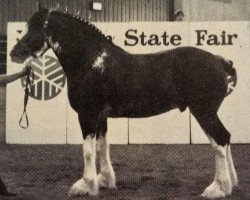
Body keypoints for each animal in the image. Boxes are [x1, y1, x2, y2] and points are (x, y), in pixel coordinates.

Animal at [10, 1, 238, 198]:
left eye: (37, 27)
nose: (14, 53)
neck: (92, 62)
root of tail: (220, 61)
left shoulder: (87, 114)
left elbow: (88, 151)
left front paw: (85, 186)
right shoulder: (100, 117)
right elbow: (102, 147)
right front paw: (104, 181)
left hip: (204, 111)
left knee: (220, 140)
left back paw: (217, 188)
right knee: (224, 139)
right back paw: (231, 184)